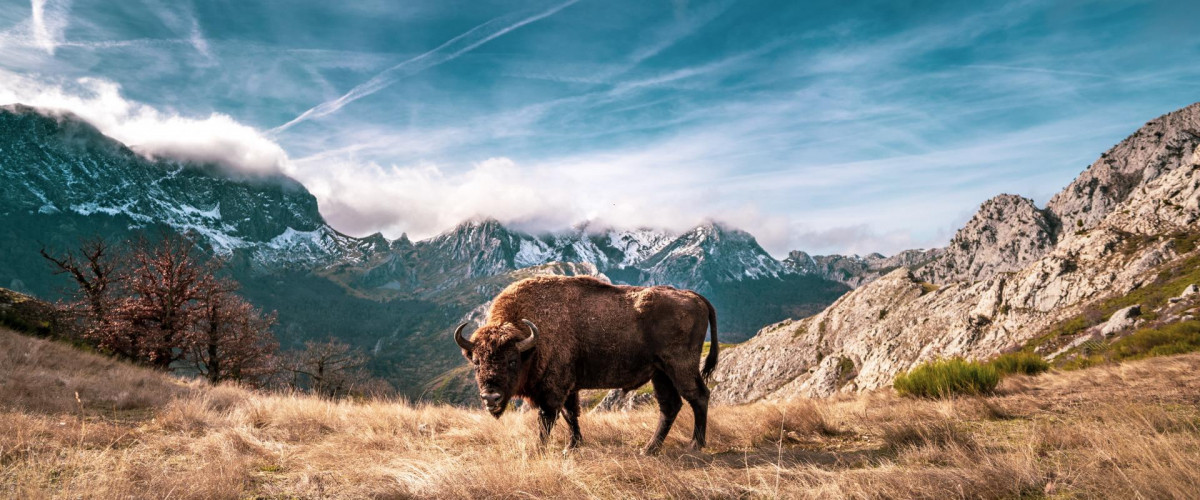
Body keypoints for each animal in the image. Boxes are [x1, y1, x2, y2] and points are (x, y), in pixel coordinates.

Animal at [448, 273, 710, 450]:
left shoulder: (553, 389)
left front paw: (541, 448)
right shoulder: (569, 388)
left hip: (680, 368)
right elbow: (571, 414)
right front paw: (573, 445)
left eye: (512, 361)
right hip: (660, 373)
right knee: (670, 406)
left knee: (698, 397)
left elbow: (547, 419)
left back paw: (695, 445)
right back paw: (649, 449)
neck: (532, 341)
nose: (490, 397)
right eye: (477, 362)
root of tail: (693, 296)